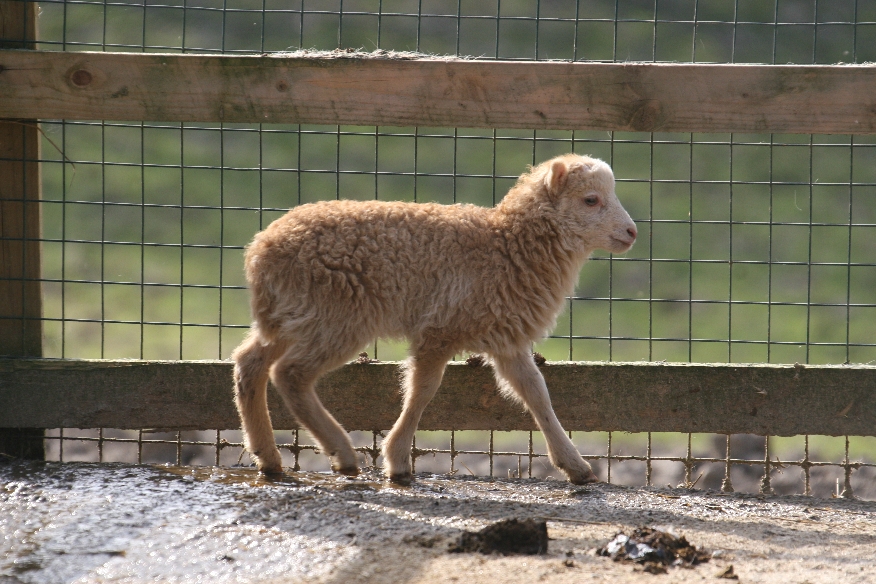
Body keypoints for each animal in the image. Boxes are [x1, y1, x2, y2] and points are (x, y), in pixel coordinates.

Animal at [232, 153, 637, 485]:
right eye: (590, 199)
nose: (632, 232)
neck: (506, 245)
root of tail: (259, 253)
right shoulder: (441, 329)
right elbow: (422, 391)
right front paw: (397, 461)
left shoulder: (506, 337)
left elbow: (536, 394)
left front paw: (576, 466)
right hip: (338, 316)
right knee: (291, 374)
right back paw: (341, 453)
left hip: (293, 315)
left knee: (250, 362)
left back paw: (268, 457)